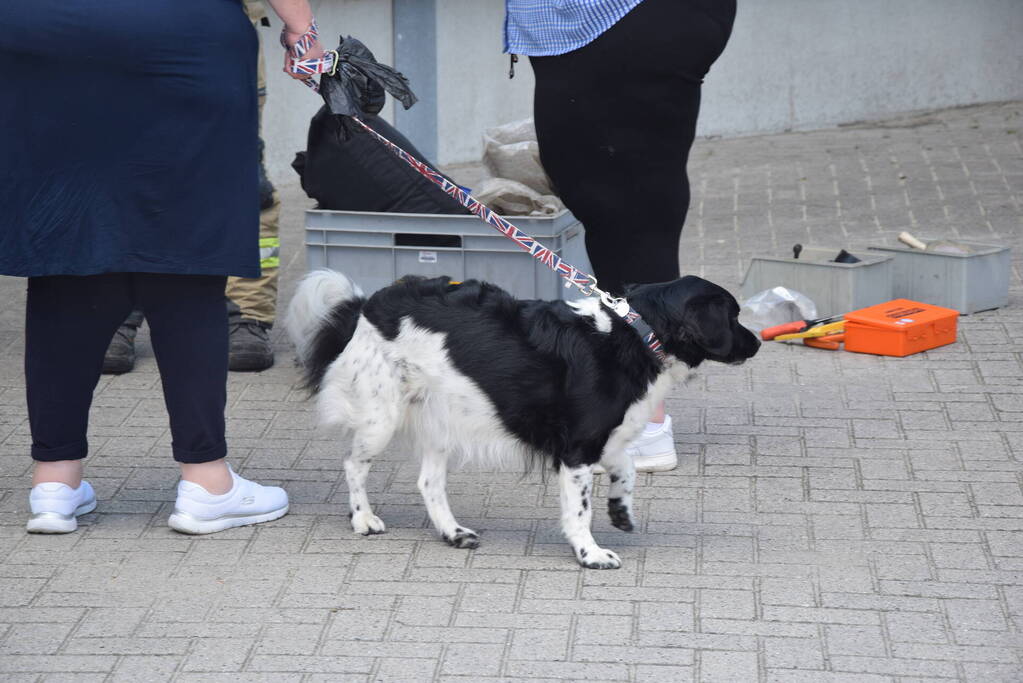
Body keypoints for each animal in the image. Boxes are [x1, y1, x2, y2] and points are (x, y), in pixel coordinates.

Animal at [284, 269, 757, 568]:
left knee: (428, 482)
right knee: (353, 464)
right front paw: (589, 554)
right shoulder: (577, 448)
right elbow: (579, 510)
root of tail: (366, 304)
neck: (637, 333)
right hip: (381, 416)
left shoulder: (601, 438)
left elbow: (626, 467)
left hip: (442, 414)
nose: (755, 344)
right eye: (733, 316)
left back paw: (452, 531)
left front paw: (621, 510)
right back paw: (362, 519)